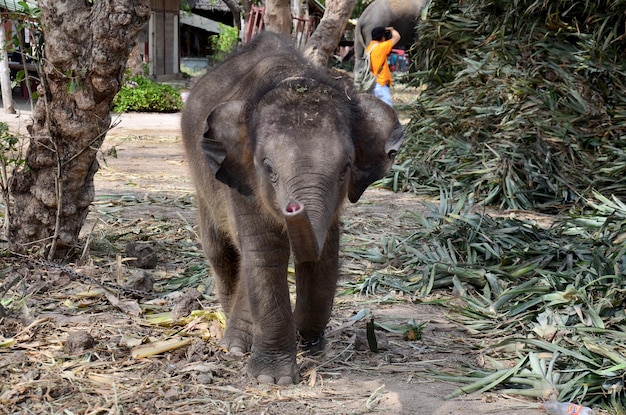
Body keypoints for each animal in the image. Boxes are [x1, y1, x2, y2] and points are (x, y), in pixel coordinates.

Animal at [183, 33, 402, 386]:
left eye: (346, 168)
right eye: (268, 168)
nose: (293, 206)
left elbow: (323, 254)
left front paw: (308, 345)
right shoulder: (242, 185)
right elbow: (265, 253)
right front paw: (272, 380)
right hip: (203, 186)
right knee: (222, 253)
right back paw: (233, 345)